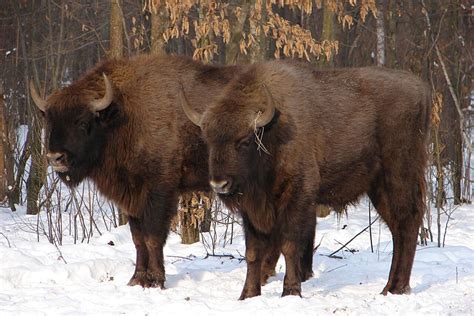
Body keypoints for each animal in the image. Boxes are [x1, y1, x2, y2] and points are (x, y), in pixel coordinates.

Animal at [30, 53, 256, 288]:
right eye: (50, 120)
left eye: (82, 122)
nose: (55, 157)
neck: (122, 114)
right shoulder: (132, 196)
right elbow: (138, 239)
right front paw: (137, 278)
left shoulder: (159, 191)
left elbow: (152, 237)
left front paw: (156, 280)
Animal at [182, 61, 434, 298]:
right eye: (208, 140)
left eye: (243, 141)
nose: (219, 184)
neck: (272, 132)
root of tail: (421, 89)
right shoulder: (252, 210)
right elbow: (253, 252)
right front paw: (248, 295)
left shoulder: (297, 195)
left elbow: (289, 245)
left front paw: (291, 291)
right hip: (378, 189)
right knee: (397, 229)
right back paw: (391, 287)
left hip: (398, 177)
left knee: (407, 223)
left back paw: (396, 288)